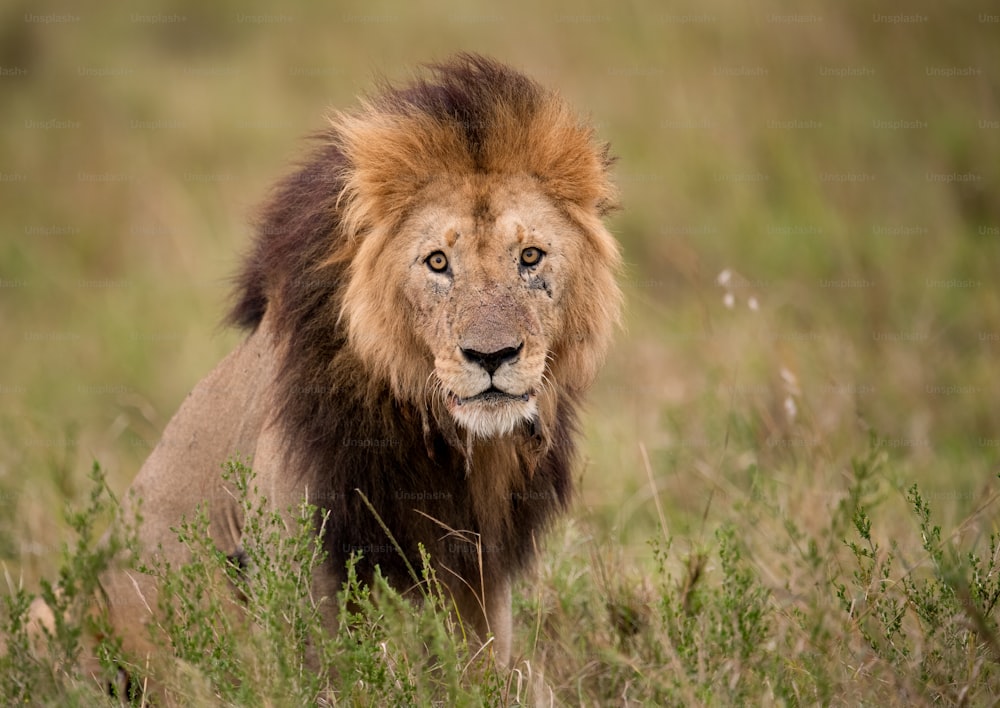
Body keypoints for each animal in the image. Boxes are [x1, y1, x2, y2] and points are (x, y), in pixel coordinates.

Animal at [99, 54, 616, 668]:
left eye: (530, 256)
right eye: (437, 262)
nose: (491, 355)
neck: (445, 438)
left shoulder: (480, 568)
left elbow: (481, 664)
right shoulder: (297, 555)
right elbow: (321, 672)